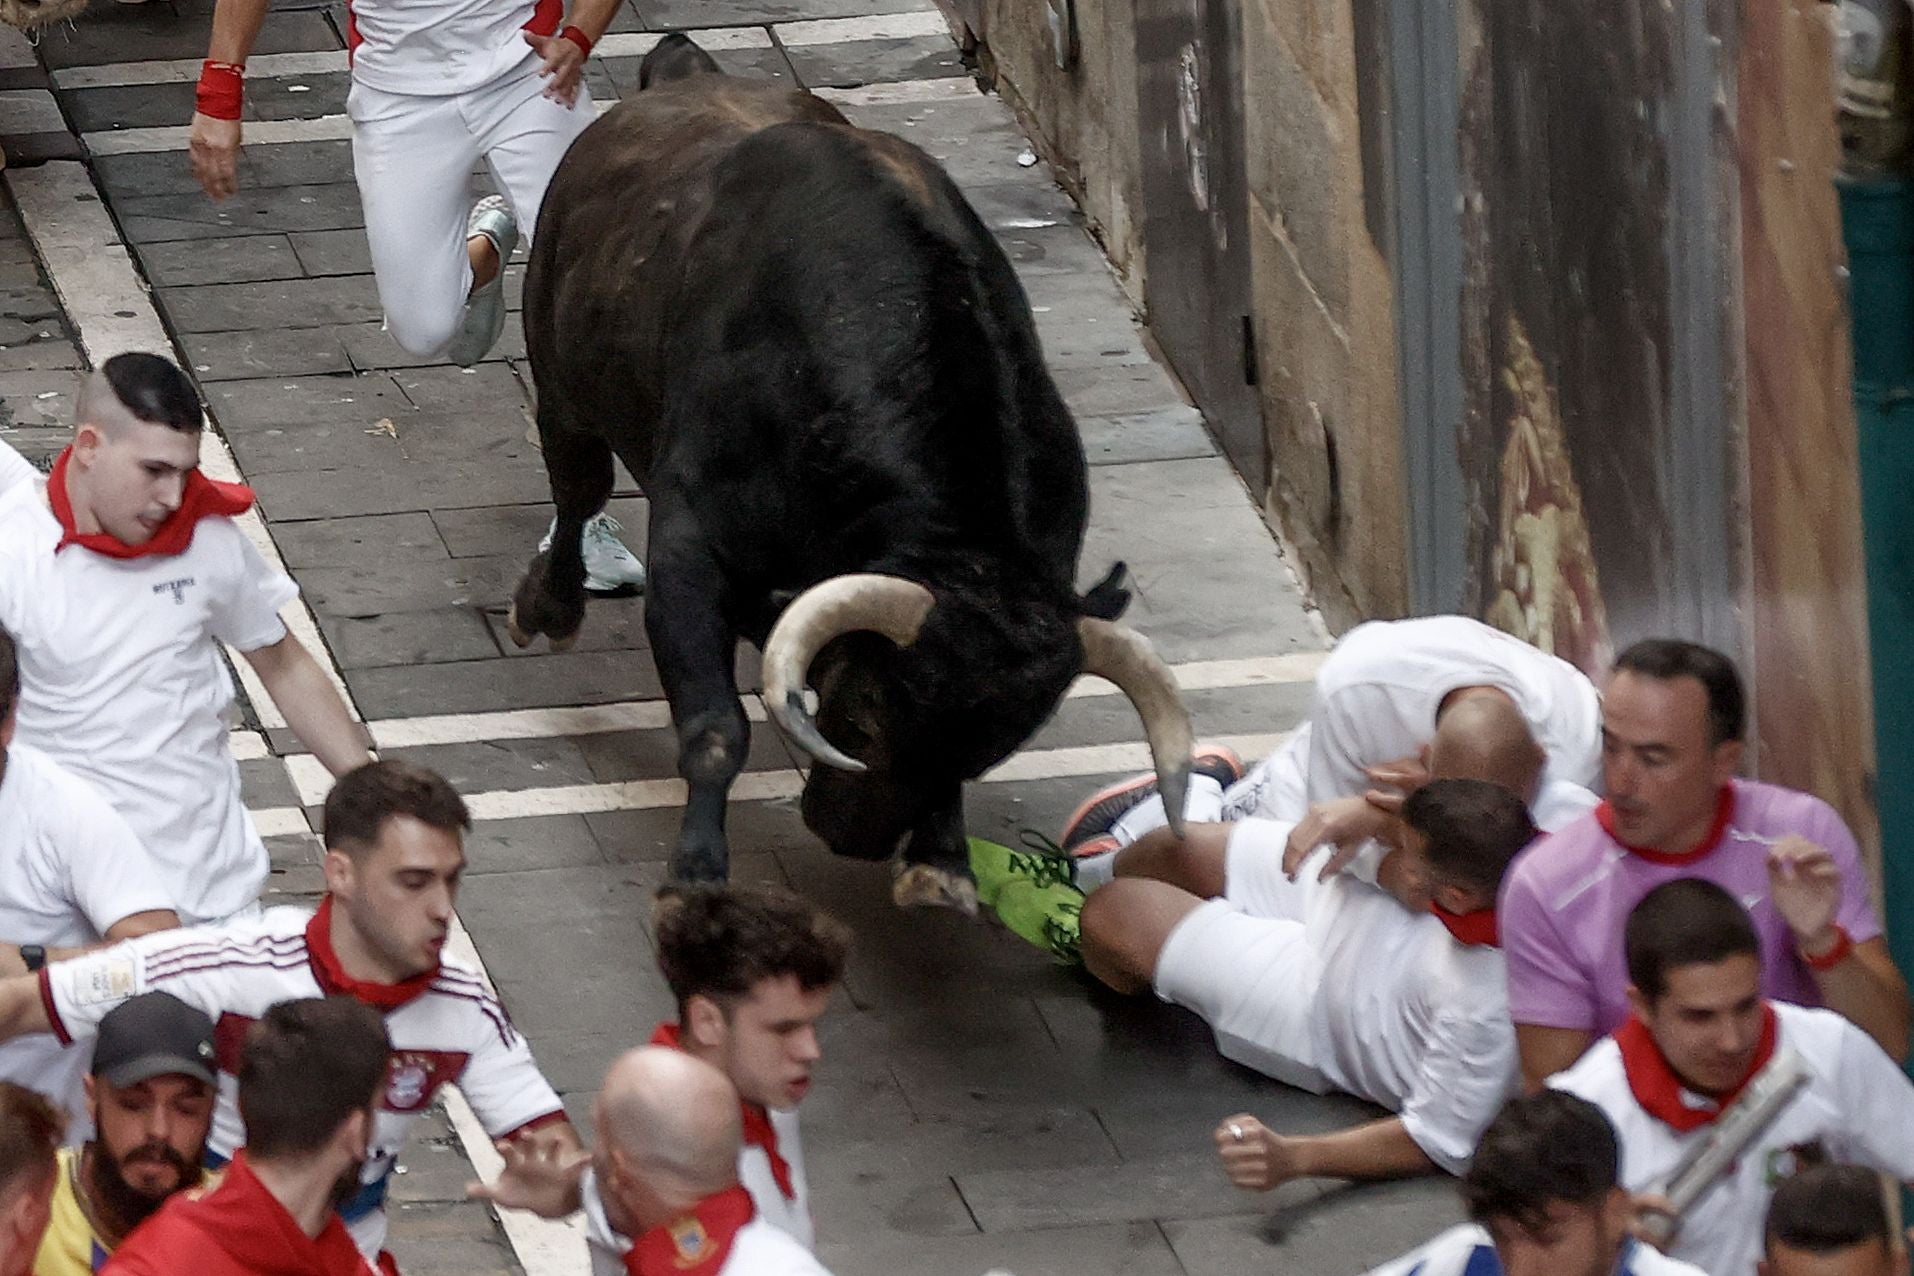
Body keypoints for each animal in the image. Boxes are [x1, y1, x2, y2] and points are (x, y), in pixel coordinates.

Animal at [509, 37, 1194, 906]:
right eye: (868, 714)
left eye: (992, 750)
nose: (852, 839)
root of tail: (683, 75)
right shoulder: (691, 550)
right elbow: (714, 727)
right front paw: (697, 872)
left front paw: (940, 863)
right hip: (561, 384)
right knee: (577, 490)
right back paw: (550, 606)